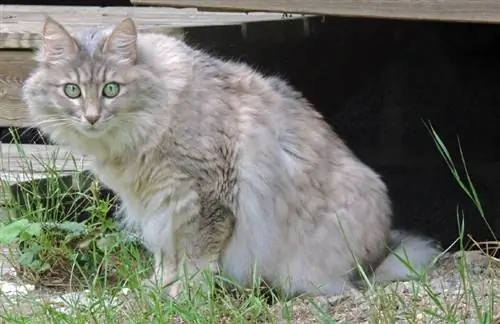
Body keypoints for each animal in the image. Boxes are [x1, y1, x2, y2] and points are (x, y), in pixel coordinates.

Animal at [21, 15, 442, 298]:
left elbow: (195, 254)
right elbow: (165, 254)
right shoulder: (157, 205)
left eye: (111, 89)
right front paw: (157, 287)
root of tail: (383, 250)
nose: (92, 118)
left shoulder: (205, 193)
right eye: (72, 90)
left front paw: (187, 293)